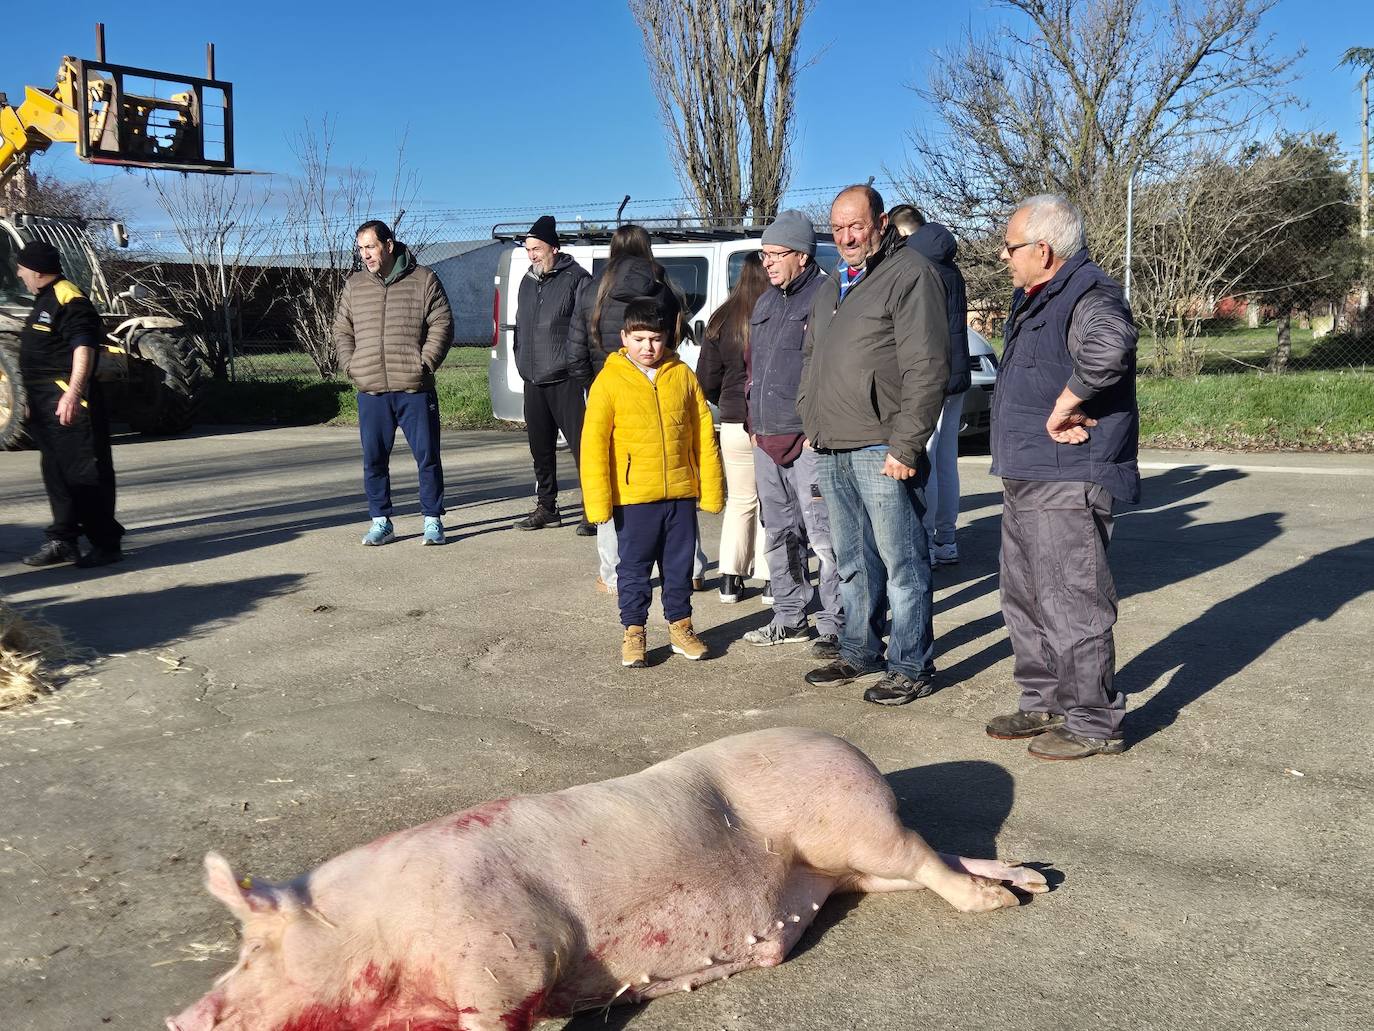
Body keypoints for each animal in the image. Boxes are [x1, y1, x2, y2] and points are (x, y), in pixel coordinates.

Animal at [174, 725, 1049, 1031]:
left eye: (253, 950)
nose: (180, 1017)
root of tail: (848, 746)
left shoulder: (510, 958)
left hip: (855, 820)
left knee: (929, 858)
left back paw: (1001, 902)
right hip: (850, 872)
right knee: (935, 861)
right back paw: (1034, 879)